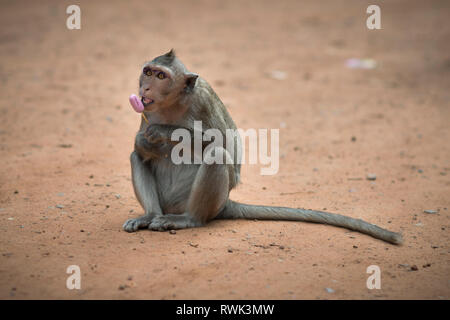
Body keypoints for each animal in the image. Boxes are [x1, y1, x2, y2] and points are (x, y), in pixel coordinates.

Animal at [121, 50, 402, 245]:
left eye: (161, 76)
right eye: (148, 71)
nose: (145, 87)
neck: (174, 102)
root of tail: (224, 204)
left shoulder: (203, 98)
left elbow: (222, 143)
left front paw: (161, 133)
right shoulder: (148, 110)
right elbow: (142, 149)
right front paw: (144, 141)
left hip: (196, 203)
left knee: (216, 156)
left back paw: (190, 220)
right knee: (136, 158)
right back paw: (149, 215)